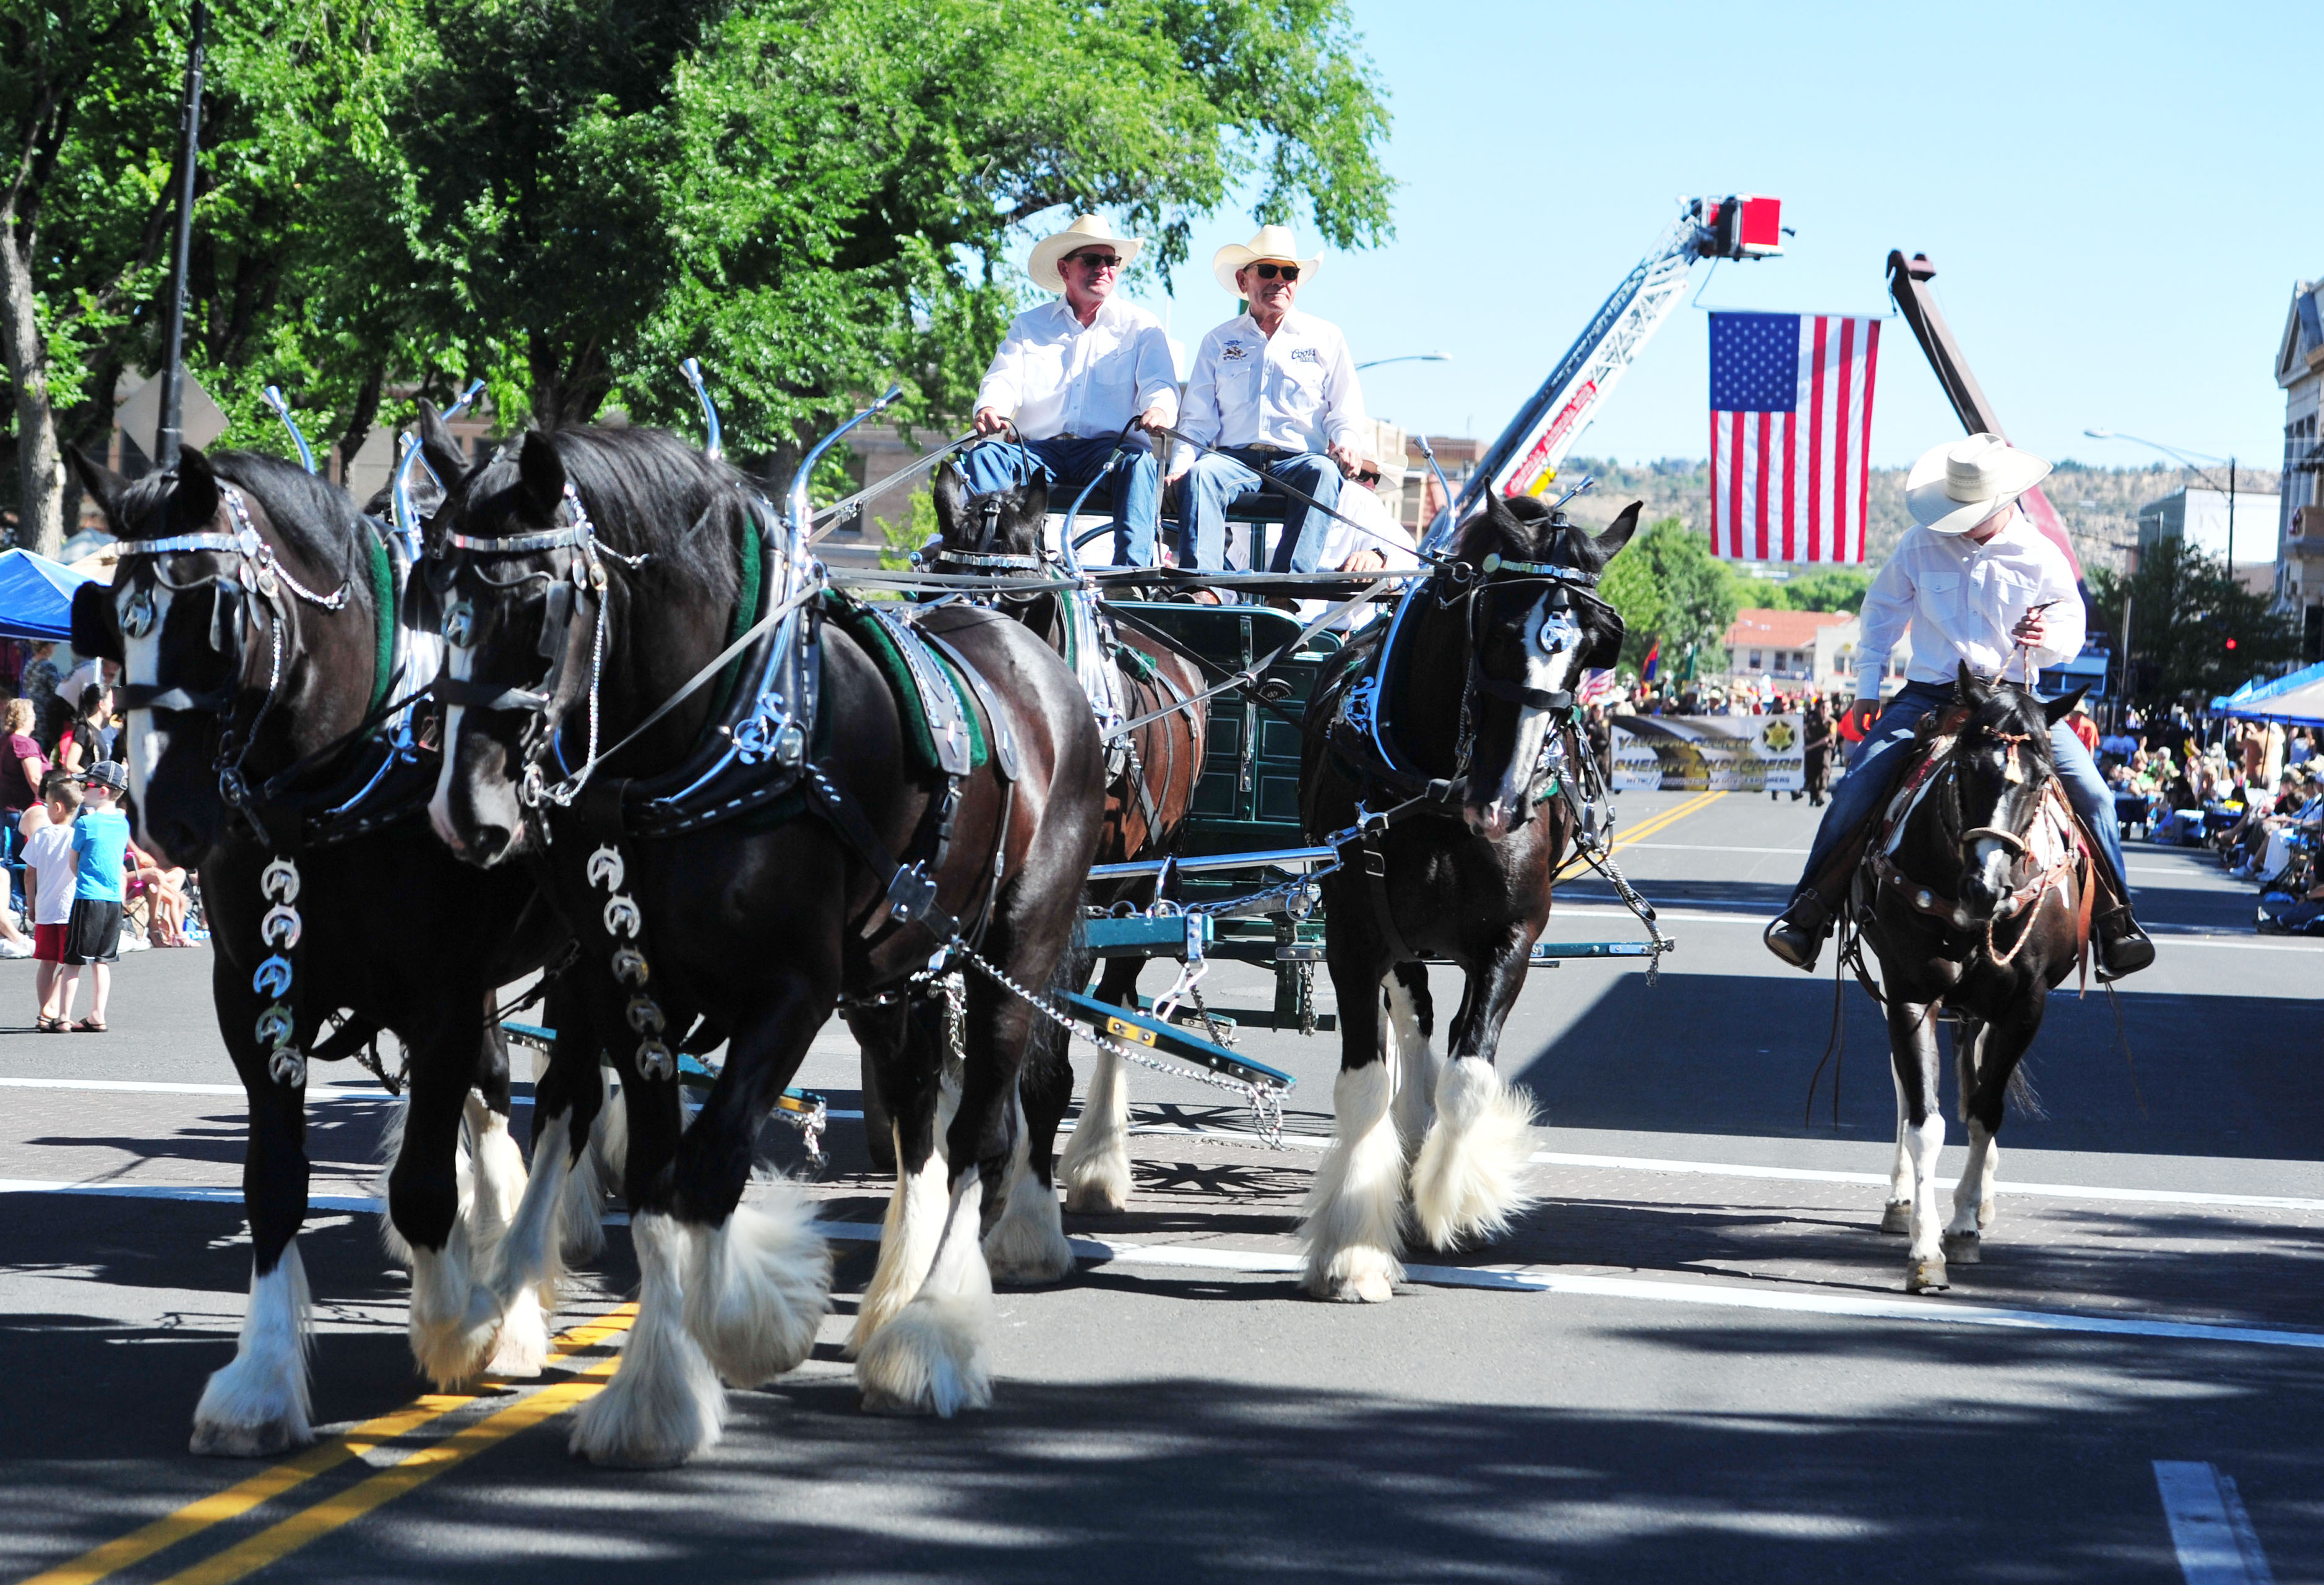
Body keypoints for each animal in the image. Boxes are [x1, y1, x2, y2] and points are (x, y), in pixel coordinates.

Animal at [66, 441, 574, 1441]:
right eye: (109, 620)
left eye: (215, 619)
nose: (164, 820)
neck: (341, 780)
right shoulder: (255, 992)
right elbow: (274, 1182)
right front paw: (260, 1381)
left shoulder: (442, 994)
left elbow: (422, 1185)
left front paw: (457, 1327)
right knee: (497, 1091)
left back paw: (518, 1299)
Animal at [418, 411, 1106, 1459]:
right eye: (428, 590)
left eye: (535, 602)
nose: (465, 812)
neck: (710, 737)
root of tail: (1033, 660)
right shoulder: (631, 986)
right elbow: (657, 1179)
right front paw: (657, 1391)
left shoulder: (793, 994)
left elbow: (709, 1170)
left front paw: (750, 1325)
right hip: (893, 969)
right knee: (915, 1115)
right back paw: (891, 1302)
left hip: (1015, 951)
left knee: (983, 1135)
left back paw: (928, 1336)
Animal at [1292, 490, 1636, 1292]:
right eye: (1499, 631)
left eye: (1588, 651)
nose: (1502, 804)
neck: (1439, 796)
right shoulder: (1354, 937)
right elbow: (1362, 1085)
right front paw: (1354, 1251)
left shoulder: (1511, 940)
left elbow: (1470, 1075)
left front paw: (1456, 1202)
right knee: (1414, 1019)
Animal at [1849, 659, 2091, 1292]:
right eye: (1964, 769)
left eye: (2042, 778)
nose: (1987, 887)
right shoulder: (1910, 995)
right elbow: (1924, 1118)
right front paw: (1925, 1247)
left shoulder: (2024, 1006)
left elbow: (1985, 1110)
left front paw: (1962, 1226)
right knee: (1908, 1091)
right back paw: (1900, 1199)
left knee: (1979, 1082)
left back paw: (1980, 1199)